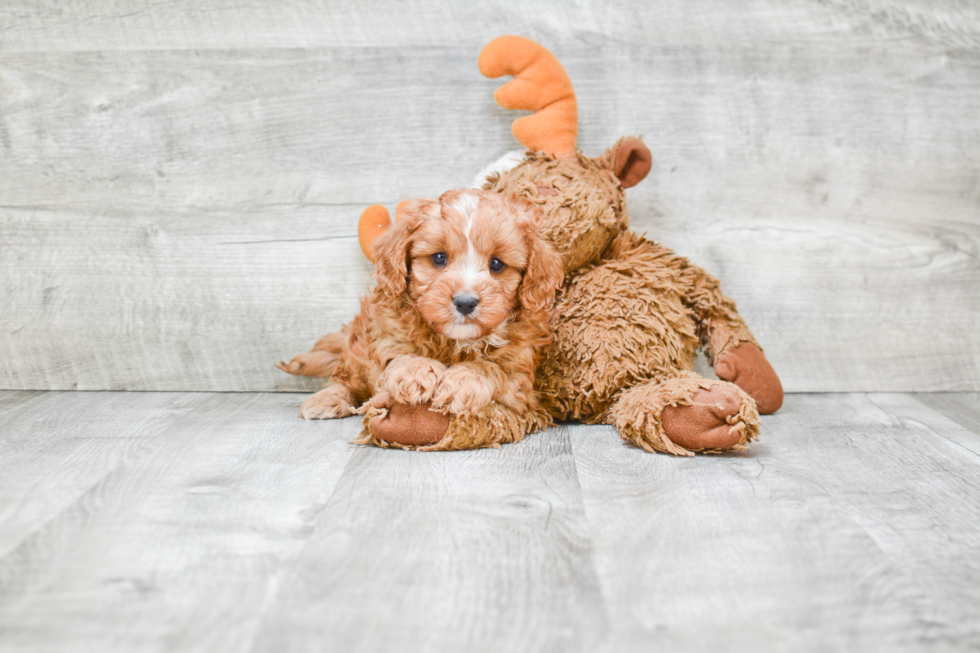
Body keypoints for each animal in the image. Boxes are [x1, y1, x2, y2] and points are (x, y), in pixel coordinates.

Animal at [280, 190, 564, 428]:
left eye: (496, 264)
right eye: (439, 258)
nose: (465, 302)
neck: (453, 341)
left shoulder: (521, 372)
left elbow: (494, 367)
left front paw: (462, 382)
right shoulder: (386, 331)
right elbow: (399, 354)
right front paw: (414, 373)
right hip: (357, 350)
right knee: (345, 378)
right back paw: (326, 399)